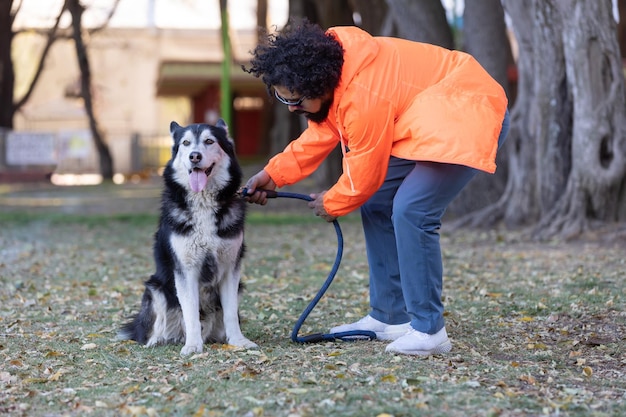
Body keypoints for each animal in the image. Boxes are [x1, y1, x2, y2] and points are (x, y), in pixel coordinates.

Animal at [118, 119, 258, 354]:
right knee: (154, 326)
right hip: (156, 288)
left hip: (238, 288)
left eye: (209, 141)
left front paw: (238, 341)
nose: (194, 156)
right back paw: (156, 340)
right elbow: (190, 311)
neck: (203, 203)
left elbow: (230, 313)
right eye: (186, 143)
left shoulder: (230, 268)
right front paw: (193, 345)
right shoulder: (186, 269)